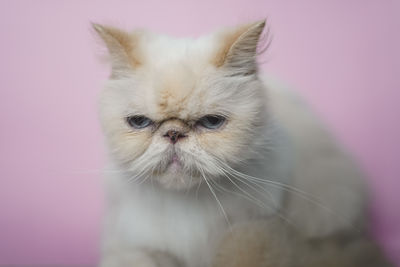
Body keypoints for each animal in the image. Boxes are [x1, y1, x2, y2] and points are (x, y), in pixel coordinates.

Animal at [91, 19, 390, 266]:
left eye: (211, 122)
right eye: (140, 122)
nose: (173, 134)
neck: (189, 207)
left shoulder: (255, 229)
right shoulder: (135, 248)